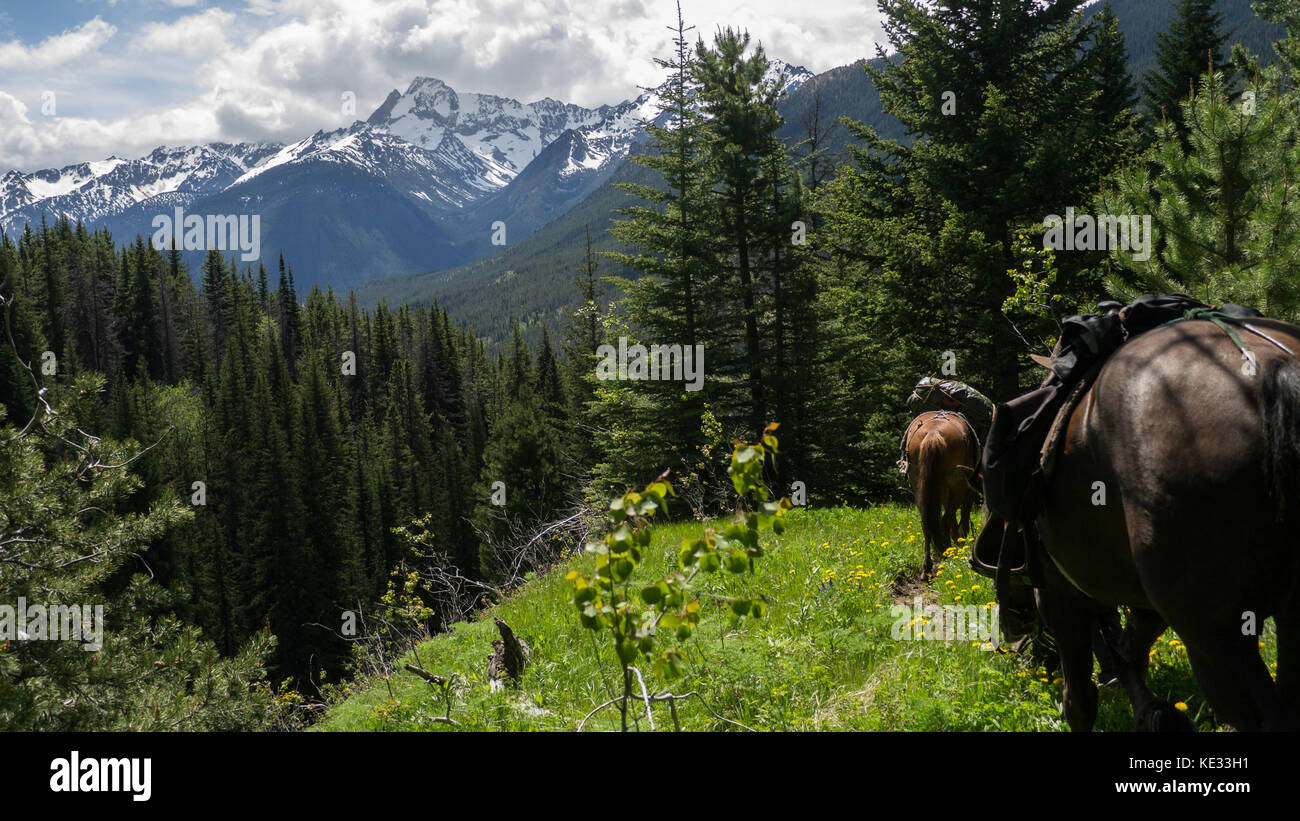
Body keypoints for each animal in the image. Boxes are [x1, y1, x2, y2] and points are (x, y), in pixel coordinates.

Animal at [909, 410, 977, 576]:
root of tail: (933, 434)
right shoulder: (966, 493)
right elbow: (961, 519)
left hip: (919, 486)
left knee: (927, 523)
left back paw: (928, 565)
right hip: (958, 485)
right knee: (948, 519)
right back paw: (951, 548)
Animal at [1024, 316, 1300, 727]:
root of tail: (1271, 367)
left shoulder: (1060, 593)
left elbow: (1080, 699)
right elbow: (1129, 649)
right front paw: (1152, 712)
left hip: (1215, 640)